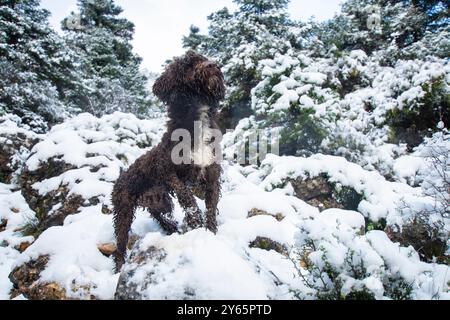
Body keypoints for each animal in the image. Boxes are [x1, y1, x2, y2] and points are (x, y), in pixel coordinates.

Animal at [112, 50, 225, 270]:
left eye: (203, 58)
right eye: (189, 64)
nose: (214, 65)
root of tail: (120, 177)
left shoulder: (212, 174)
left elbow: (211, 206)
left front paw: (210, 233)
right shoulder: (166, 170)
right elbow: (186, 196)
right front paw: (195, 220)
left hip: (160, 201)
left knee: (157, 213)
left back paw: (171, 226)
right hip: (124, 209)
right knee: (119, 245)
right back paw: (120, 266)